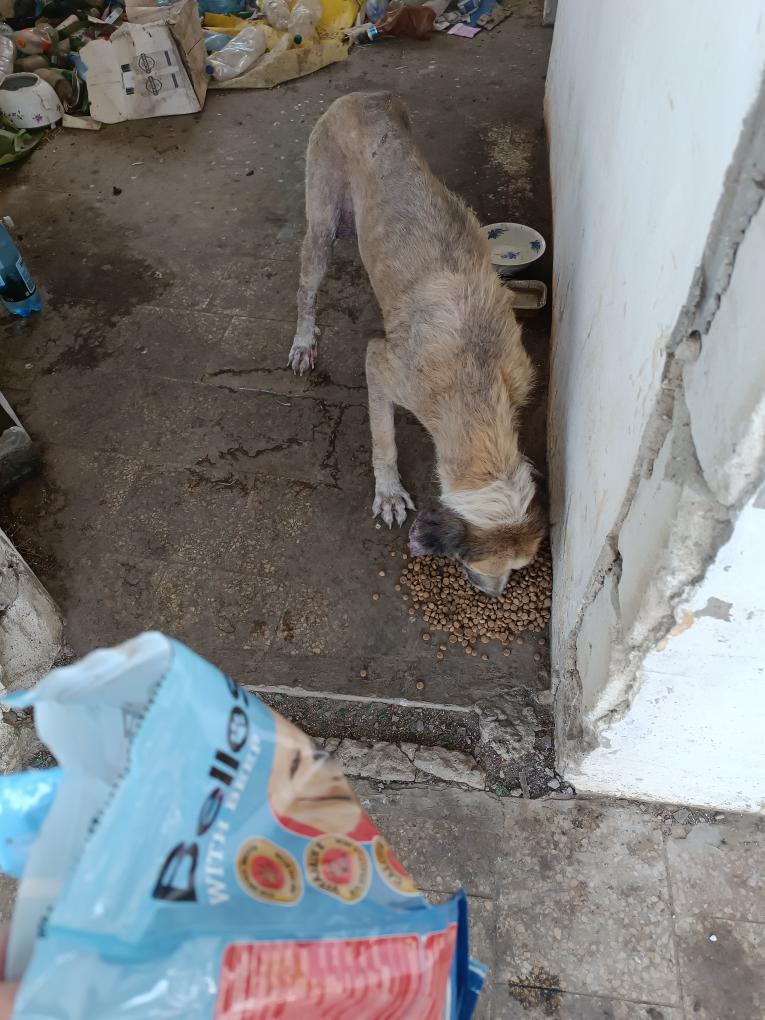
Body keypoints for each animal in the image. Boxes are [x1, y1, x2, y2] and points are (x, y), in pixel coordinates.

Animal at [289, 92, 544, 597]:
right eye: (478, 565)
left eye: (518, 568)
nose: (493, 595)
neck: (477, 378)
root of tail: (359, 95)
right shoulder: (384, 368)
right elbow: (383, 441)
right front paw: (388, 493)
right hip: (324, 224)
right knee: (307, 289)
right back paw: (304, 341)